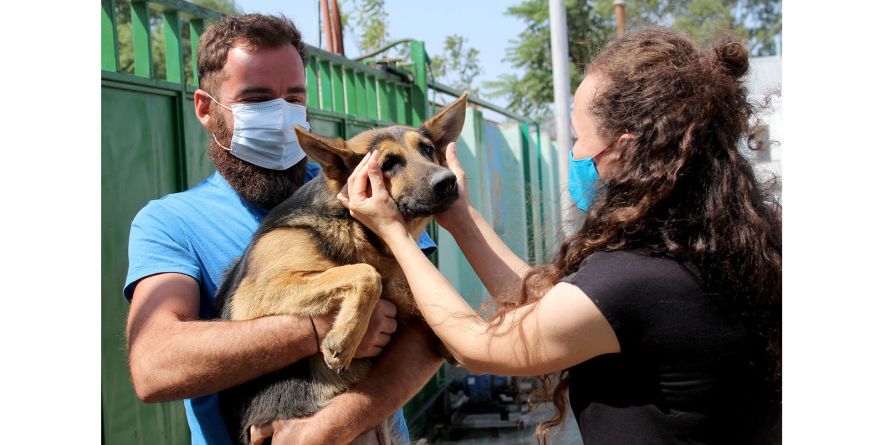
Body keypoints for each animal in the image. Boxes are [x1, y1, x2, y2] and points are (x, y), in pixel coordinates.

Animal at [214, 92, 468, 442]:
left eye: (428, 150)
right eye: (388, 164)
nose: (448, 182)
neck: (355, 227)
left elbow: (403, 289)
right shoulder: (254, 298)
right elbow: (365, 273)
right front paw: (345, 338)